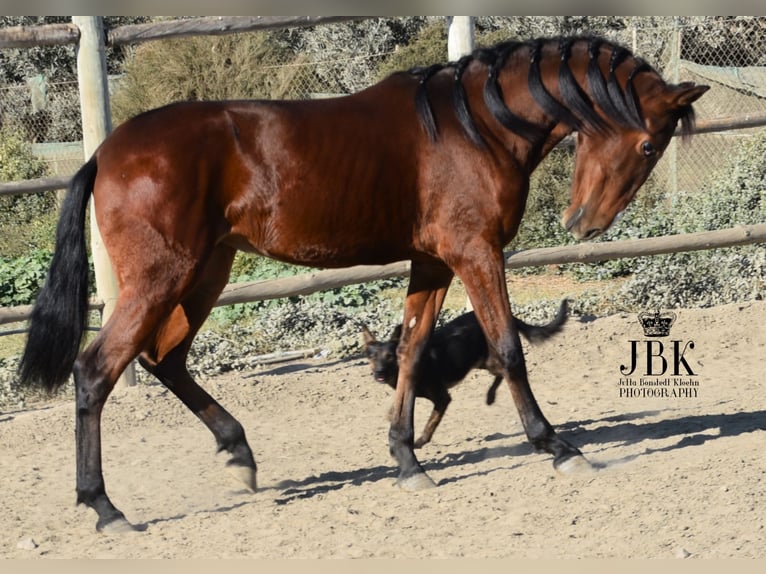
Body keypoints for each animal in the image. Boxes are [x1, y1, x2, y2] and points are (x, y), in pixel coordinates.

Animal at [364, 302, 568, 450]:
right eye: (372, 357)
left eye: (389, 357)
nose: (379, 372)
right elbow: (396, 406)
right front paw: (392, 416)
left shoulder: (442, 398)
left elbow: (431, 423)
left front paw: (420, 441)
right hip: (480, 361)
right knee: (502, 374)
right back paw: (490, 396)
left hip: (488, 359)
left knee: (507, 371)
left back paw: (490, 396)